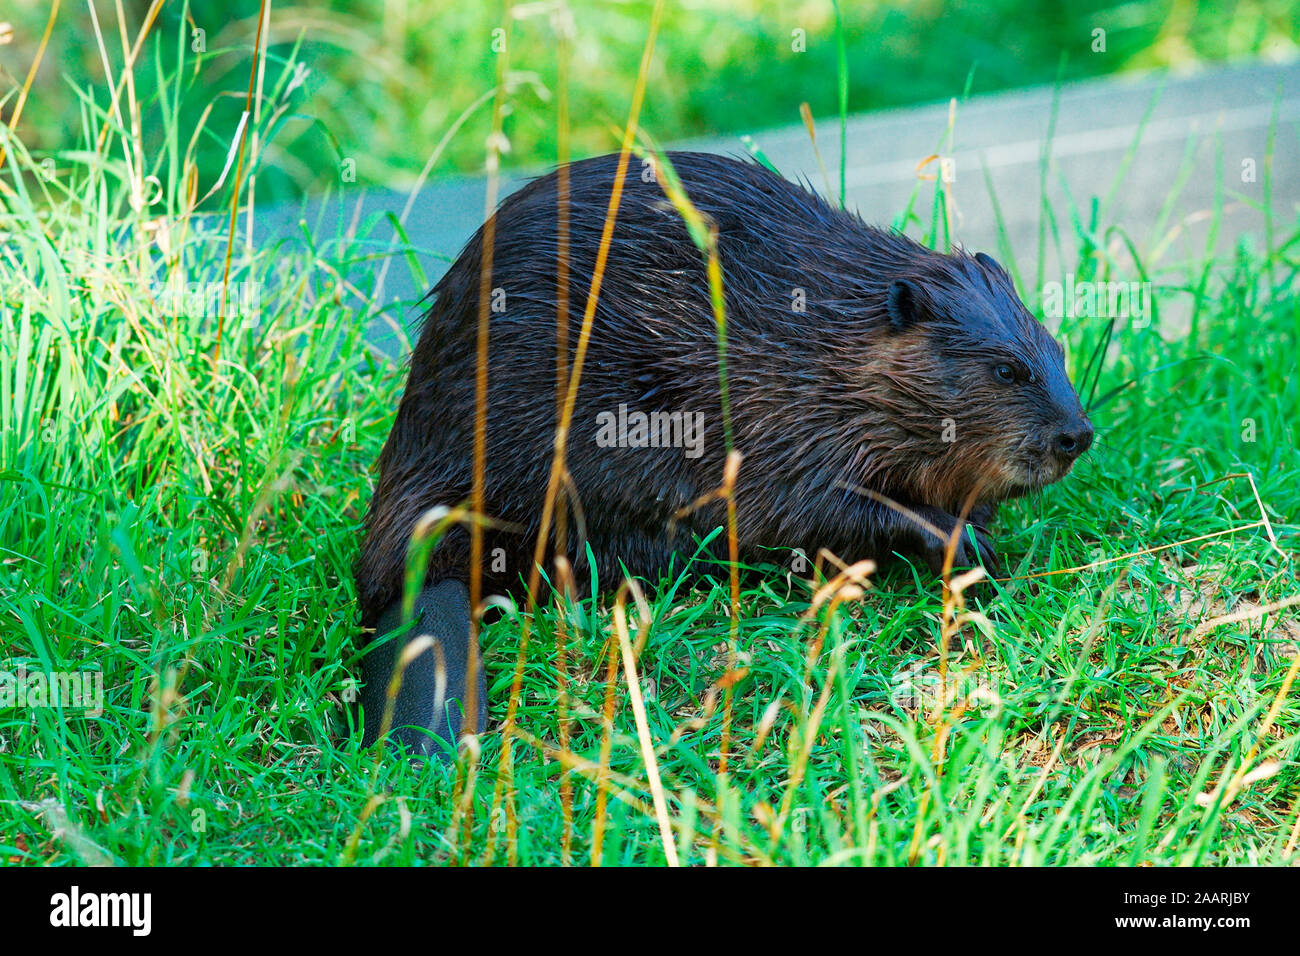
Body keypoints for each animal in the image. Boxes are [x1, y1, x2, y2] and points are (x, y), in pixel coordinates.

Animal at [351, 153, 1092, 759]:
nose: (1077, 436)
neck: (825, 340)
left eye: (1055, 348)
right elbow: (807, 508)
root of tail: (405, 573)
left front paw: (980, 529)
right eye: (1006, 370)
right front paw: (965, 545)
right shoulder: (775, 417)